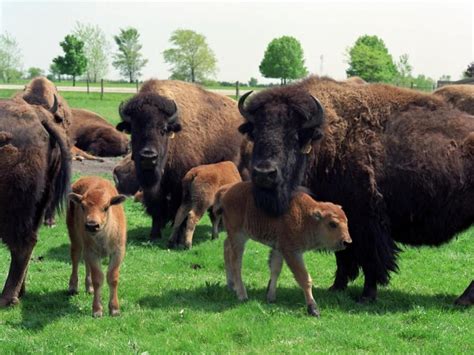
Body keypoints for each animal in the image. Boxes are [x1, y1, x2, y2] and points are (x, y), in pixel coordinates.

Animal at [0, 79, 71, 308]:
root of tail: (40, 118)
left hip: (13, 210)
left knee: (22, 245)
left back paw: (7, 298)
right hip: (38, 205)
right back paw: (18, 293)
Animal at [65, 177, 128, 318]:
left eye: (106, 207)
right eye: (83, 206)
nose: (92, 225)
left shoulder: (118, 252)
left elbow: (112, 277)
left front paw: (114, 309)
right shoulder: (93, 253)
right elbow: (98, 278)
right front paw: (97, 310)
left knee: (85, 263)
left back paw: (89, 288)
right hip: (75, 237)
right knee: (75, 257)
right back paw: (73, 287)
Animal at [117, 79, 244, 243]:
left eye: (163, 129)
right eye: (134, 130)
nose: (148, 157)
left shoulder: (179, 183)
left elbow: (179, 209)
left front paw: (177, 236)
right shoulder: (153, 187)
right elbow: (156, 206)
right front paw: (154, 235)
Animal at [215, 182, 352, 318]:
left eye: (346, 221)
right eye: (332, 224)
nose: (347, 241)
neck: (305, 216)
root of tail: (226, 191)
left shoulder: (279, 249)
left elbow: (275, 269)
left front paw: (270, 297)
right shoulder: (292, 252)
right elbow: (304, 278)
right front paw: (313, 309)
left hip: (234, 236)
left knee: (226, 248)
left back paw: (231, 285)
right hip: (238, 236)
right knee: (236, 262)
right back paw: (242, 295)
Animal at [239, 76, 474, 304]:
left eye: (295, 136)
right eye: (255, 132)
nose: (264, 173)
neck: (327, 140)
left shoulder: (367, 222)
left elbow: (370, 258)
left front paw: (366, 295)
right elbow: (343, 253)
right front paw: (337, 287)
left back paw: (462, 300)